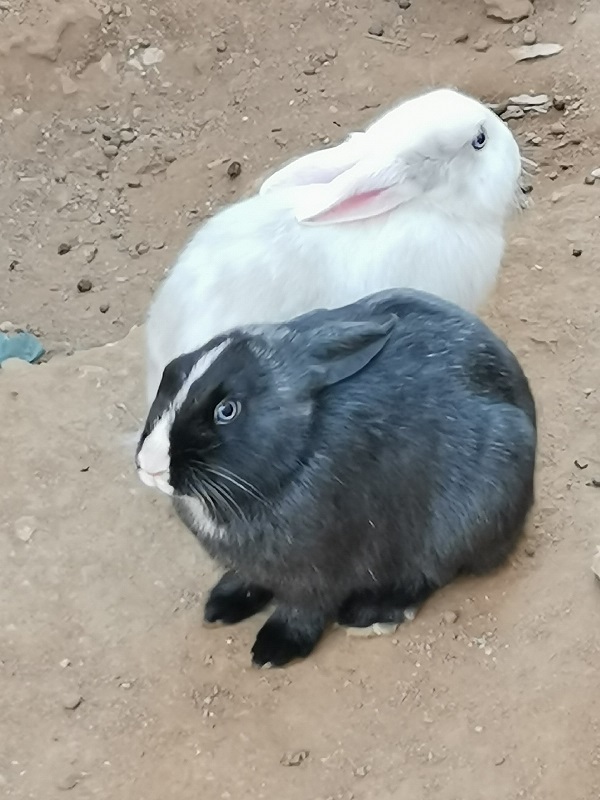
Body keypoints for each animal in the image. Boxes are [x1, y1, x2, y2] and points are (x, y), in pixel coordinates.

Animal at [136, 288, 537, 668]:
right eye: (170, 372)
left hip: (466, 520)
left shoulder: (321, 568)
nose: (149, 462)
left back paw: (369, 613)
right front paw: (222, 606)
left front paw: (274, 648)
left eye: (227, 410)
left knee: (429, 574)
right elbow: (247, 579)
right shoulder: (252, 566)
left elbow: (305, 606)